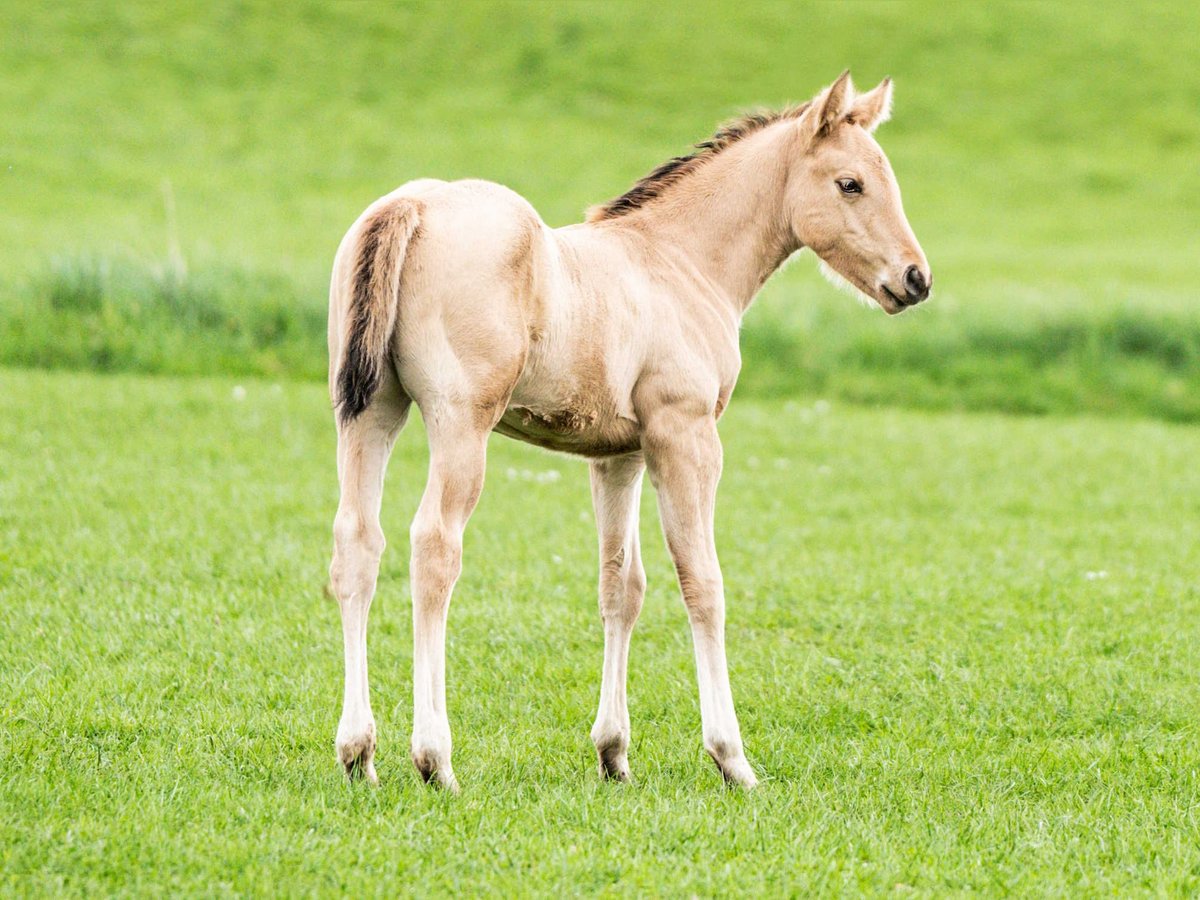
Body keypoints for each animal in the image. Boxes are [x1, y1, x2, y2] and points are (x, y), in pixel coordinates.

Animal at [326, 72, 926, 787]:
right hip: (460, 422)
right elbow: (703, 582)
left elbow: (622, 586)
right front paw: (732, 758)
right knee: (434, 547)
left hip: (371, 412)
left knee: (358, 544)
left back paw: (359, 754)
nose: (916, 279)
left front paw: (613, 753)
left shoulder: (618, 456)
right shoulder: (685, 438)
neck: (678, 260)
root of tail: (411, 205)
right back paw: (434, 759)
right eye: (850, 184)